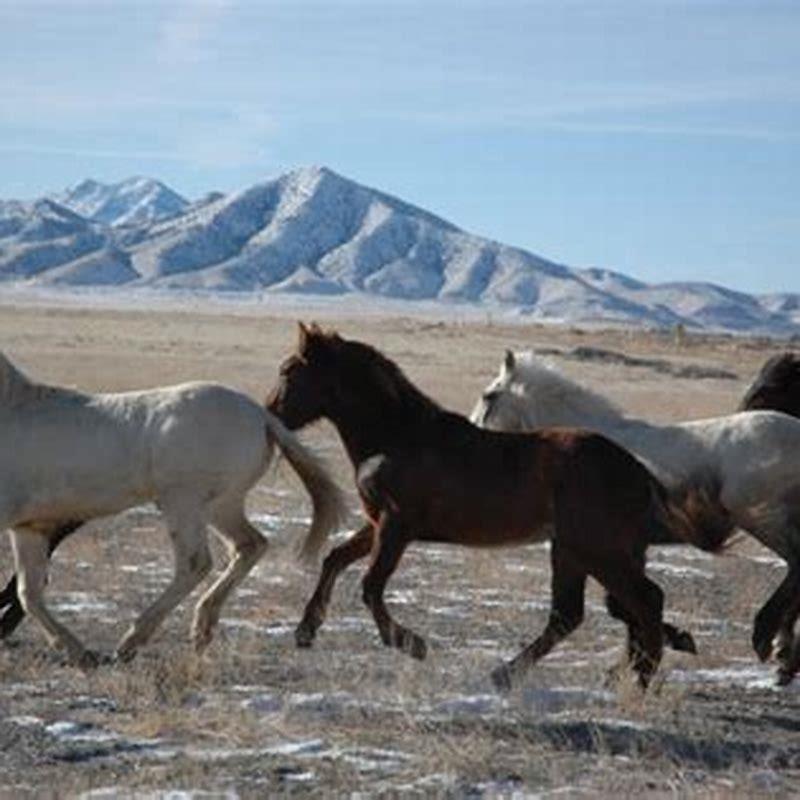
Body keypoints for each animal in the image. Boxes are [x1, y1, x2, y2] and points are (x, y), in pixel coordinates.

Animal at [0, 352, 346, 667]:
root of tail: (262, 417)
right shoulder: (28, 527)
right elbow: (28, 593)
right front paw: (79, 653)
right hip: (221, 506)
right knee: (249, 545)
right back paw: (202, 629)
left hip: (182, 502)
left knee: (195, 563)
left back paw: (132, 642)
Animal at [267, 324, 725, 690]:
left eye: (289, 371)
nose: (269, 415)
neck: (398, 436)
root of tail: (637, 469)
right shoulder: (379, 523)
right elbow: (335, 559)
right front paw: (305, 630)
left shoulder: (397, 526)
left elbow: (370, 586)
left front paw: (412, 644)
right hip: (578, 549)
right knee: (577, 613)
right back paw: (510, 673)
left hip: (597, 549)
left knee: (642, 601)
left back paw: (641, 681)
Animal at [470, 350, 800, 685]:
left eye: (489, 395)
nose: (474, 431)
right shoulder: (630, 547)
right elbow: (623, 606)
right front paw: (655, 650)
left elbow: (623, 604)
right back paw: (784, 658)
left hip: (761, 520)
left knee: (796, 565)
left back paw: (766, 640)